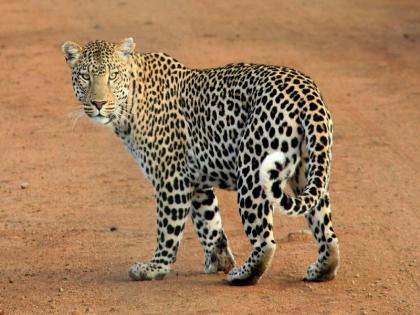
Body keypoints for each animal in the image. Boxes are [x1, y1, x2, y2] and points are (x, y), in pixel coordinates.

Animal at [62, 37, 340, 286]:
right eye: (85, 76)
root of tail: (306, 92)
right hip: (308, 170)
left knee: (265, 241)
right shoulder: (195, 181)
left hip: (252, 172)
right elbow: (209, 223)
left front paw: (155, 267)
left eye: (113, 76)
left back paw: (242, 275)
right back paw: (322, 269)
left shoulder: (171, 178)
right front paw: (219, 260)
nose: (98, 103)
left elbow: (168, 228)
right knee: (326, 229)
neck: (130, 103)